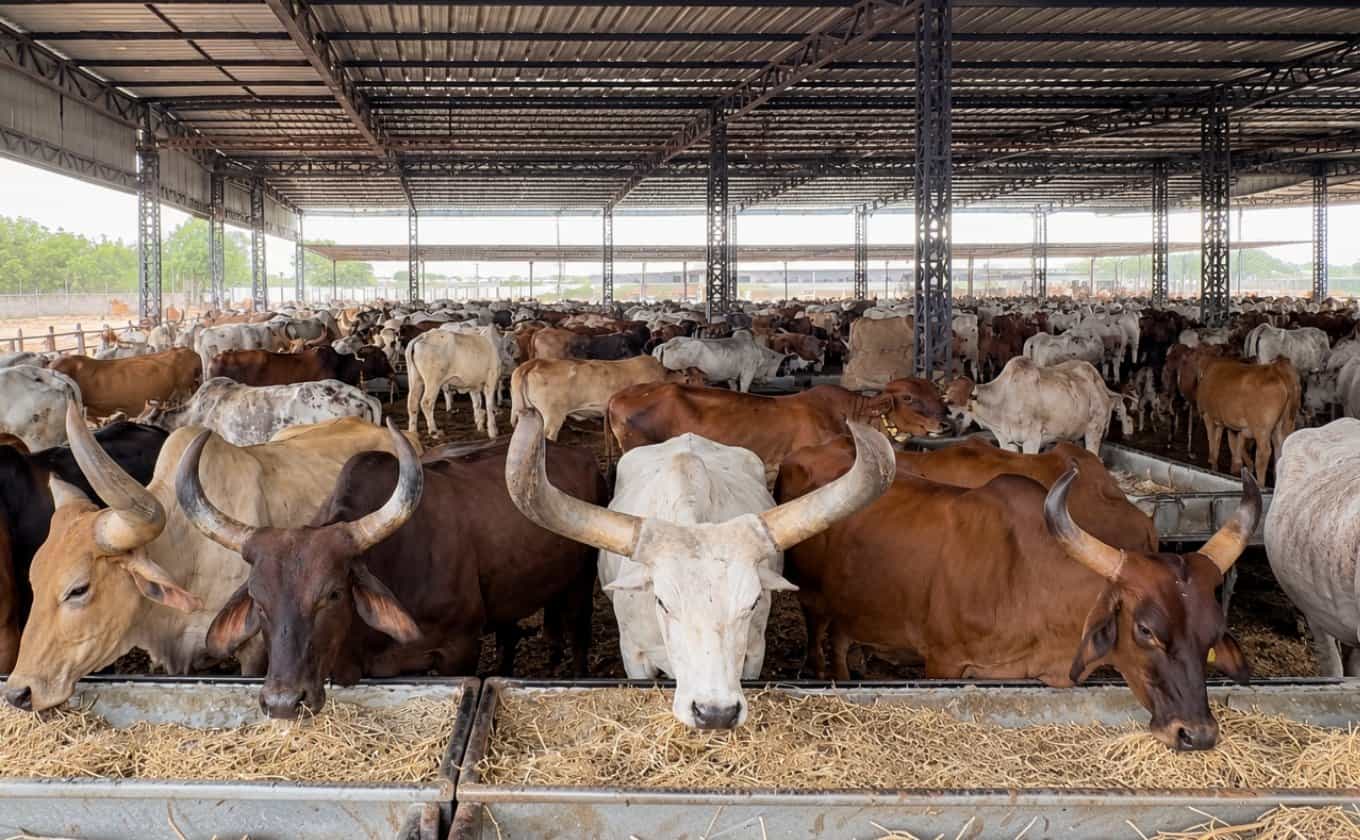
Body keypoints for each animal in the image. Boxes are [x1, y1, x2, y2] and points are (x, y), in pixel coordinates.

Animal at [183, 428, 601, 718]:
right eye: (257, 599)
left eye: (333, 594)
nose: (284, 702)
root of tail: (579, 453)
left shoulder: (459, 649)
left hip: (583, 580)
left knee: (578, 633)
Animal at [776, 441, 1259, 751]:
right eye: (1145, 629)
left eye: (1213, 631)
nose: (1196, 735)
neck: (1024, 579)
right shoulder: (943, 662)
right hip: (813, 596)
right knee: (820, 633)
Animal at [945, 357, 1132, 454]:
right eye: (946, 397)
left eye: (954, 404)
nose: (946, 426)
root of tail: (1101, 385)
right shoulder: (1006, 441)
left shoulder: (1032, 440)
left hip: (1094, 430)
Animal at [1194, 356, 1299, 486]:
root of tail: (1276, 369)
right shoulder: (1228, 424)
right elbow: (1229, 442)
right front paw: (1237, 465)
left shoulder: (1208, 416)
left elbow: (1213, 441)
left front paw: (1213, 462)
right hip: (1285, 424)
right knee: (1281, 448)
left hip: (1262, 429)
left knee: (1263, 453)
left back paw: (1260, 484)